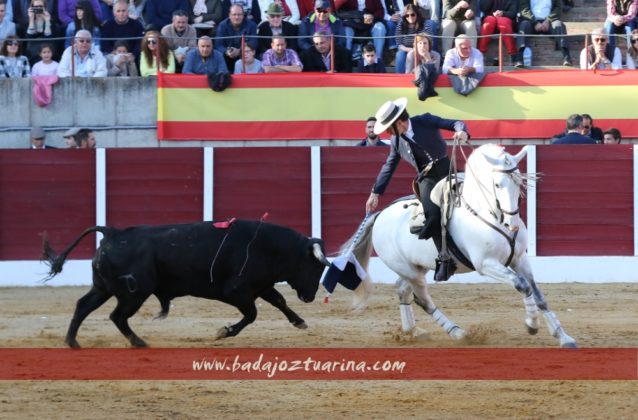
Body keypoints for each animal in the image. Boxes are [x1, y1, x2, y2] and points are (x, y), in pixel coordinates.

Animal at [42, 220, 332, 348]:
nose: (309, 297)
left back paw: (72, 341)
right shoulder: (236, 292)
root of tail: (112, 232)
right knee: (117, 316)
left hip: (103, 288)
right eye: (314, 267)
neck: (267, 247)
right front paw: (223, 331)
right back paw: (139, 342)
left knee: (83, 305)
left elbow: (279, 301)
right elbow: (252, 314)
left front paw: (299, 321)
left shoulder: (259, 286)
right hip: (135, 293)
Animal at [344, 144, 580, 348]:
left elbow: (538, 294)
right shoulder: (486, 264)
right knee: (423, 299)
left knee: (403, 290)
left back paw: (414, 331)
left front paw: (564, 337)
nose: (512, 224)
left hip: (416, 267)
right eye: (497, 184)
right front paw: (531, 325)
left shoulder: (520, 259)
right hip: (407, 269)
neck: (487, 214)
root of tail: (380, 214)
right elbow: (522, 285)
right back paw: (457, 332)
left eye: (519, 182)